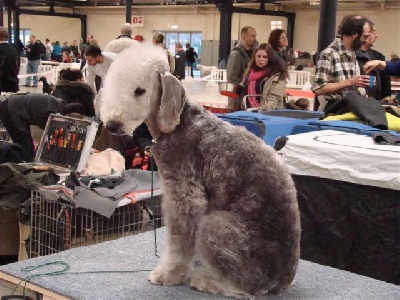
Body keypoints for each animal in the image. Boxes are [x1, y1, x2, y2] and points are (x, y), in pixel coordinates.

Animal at [100, 43, 300, 298]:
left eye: (140, 90)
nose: (112, 125)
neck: (179, 123)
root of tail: (283, 280)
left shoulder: (185, 196)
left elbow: (179, 242)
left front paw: (168, 274)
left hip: (214, 226)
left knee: (245, 289)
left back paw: (207, 281)